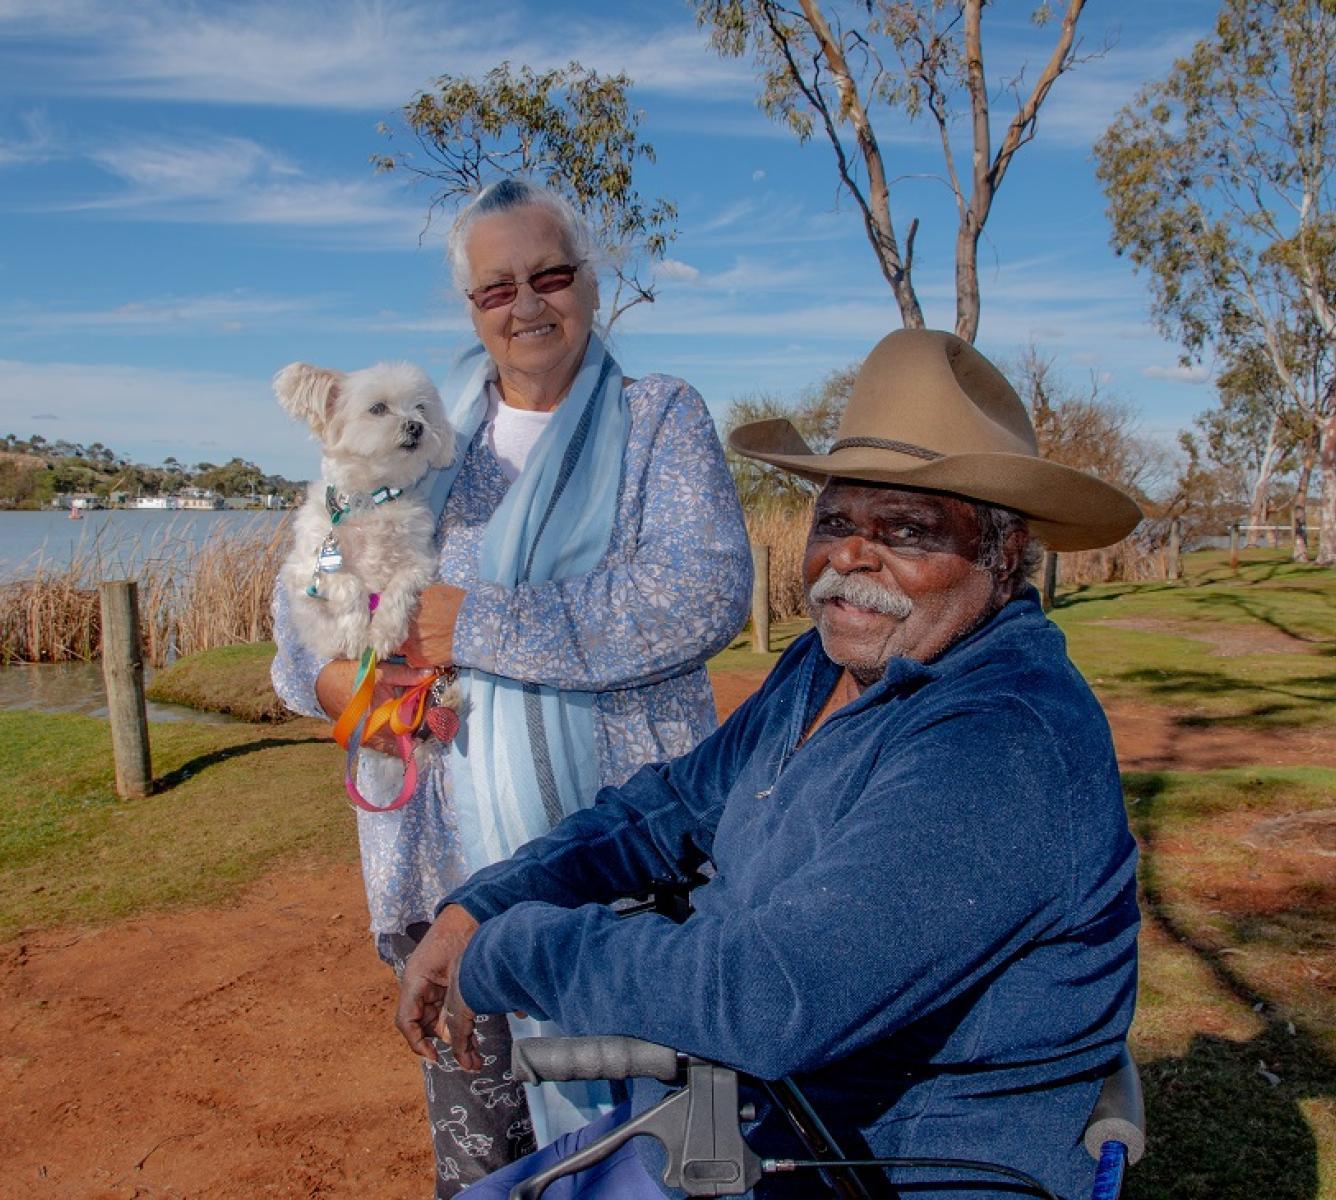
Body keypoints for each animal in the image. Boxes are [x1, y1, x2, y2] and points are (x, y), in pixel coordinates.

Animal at [275, 363, 454, 662]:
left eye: (421, 407)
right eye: (378, 408)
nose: (416, 426)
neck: (371, 500)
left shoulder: (422, 562)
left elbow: (399, 586)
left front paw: (384, 631)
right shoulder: (306, 570)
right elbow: (348, 582)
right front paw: (354, 633)